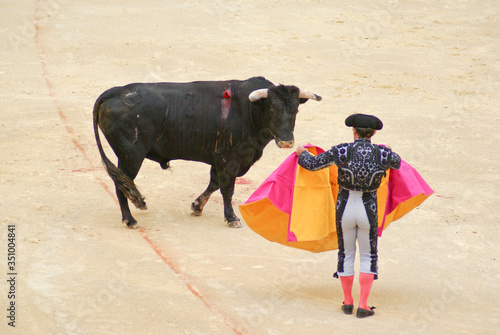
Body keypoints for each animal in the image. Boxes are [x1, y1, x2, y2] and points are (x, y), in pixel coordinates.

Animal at [92, 76, 322, 228]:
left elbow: (214, 183)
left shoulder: (220, 159)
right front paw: (232, 218)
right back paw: (130, 219)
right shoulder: (229, 159)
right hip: (131, 155)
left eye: (295, 110)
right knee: (122, 183)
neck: (249, 111)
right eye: (272, 110)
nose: (286, 142)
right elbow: (227, 188)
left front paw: (197, 206)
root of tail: (115, 91)